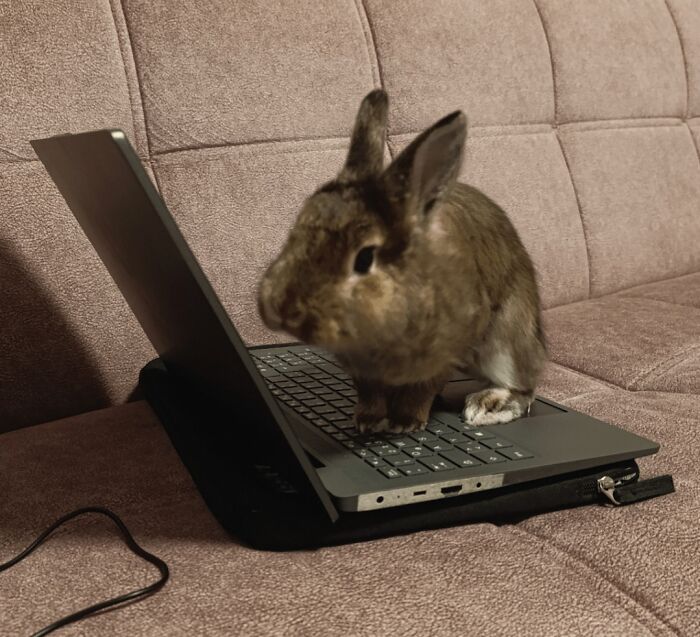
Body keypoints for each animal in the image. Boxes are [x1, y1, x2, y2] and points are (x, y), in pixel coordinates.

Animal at [258, 89, 546, 433]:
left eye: (365, 258)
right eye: (297, 228)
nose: (280, 309)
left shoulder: (448, 348)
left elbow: (421, 390)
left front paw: (405, 423)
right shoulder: (362, 370)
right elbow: (370, 393)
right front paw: (368, 421)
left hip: (507, 338)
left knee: (523, 385)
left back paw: (487, 405)